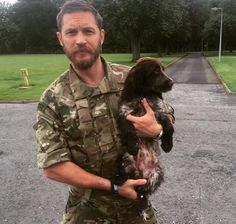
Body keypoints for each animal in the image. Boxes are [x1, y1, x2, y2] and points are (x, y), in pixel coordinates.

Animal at [117, 56, 174, 219]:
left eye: (163, 69)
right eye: (155, 71)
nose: (172, 82)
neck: (144, 96)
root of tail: (143, 172)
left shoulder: (159, 112)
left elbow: (168, 125)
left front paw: (167, 144)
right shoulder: (124, 113)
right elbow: (129, 129)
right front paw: (133, 145)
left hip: (158, 173)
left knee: (143, 190)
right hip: (125, 160)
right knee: (135, 185)